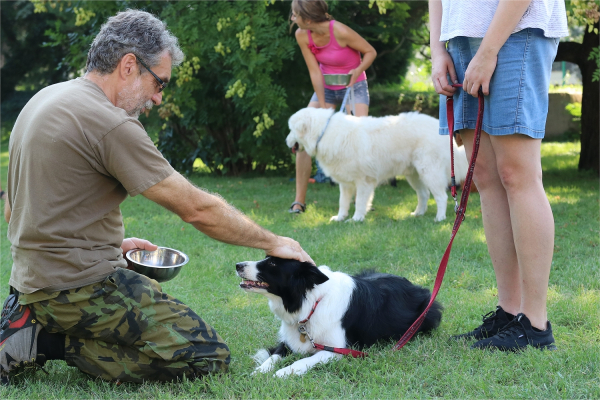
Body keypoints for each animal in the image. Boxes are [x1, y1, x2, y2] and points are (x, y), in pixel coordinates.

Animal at [237, 258, 442, 376]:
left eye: (272, 264)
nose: (238, 265)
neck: (312, 302)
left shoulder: (337, 350)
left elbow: (305, 360)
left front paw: (285, 372)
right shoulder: (289, 340)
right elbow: (274, 356)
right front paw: (260, 371)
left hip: (428, 313)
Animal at [286, 108, 468, 222]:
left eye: (291, 130)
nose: (286, 141)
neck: (323, 133)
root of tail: (441, 128)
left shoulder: (364, 181)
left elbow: (360, 201)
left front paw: (356, 219)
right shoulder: (346, 183)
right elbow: (343, 202)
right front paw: (340, 218)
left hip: (429, 172)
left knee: (441, 196)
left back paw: (439, 218)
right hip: (414, 175)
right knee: (423, 194)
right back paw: (417, 214)